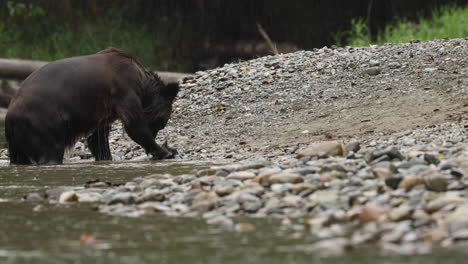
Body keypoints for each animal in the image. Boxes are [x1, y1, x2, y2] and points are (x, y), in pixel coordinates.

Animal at [5, 46, 179, 164]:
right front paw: (165, 151)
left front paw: (105, 156)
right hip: (44, 121)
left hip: (17, 140)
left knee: (19, 157)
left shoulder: (104, 110)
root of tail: (10, 115)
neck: (142, 84)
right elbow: (135, 124)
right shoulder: (122, 90)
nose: (156, 134)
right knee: (51, 150)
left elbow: (98, 138)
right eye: (161, 123)